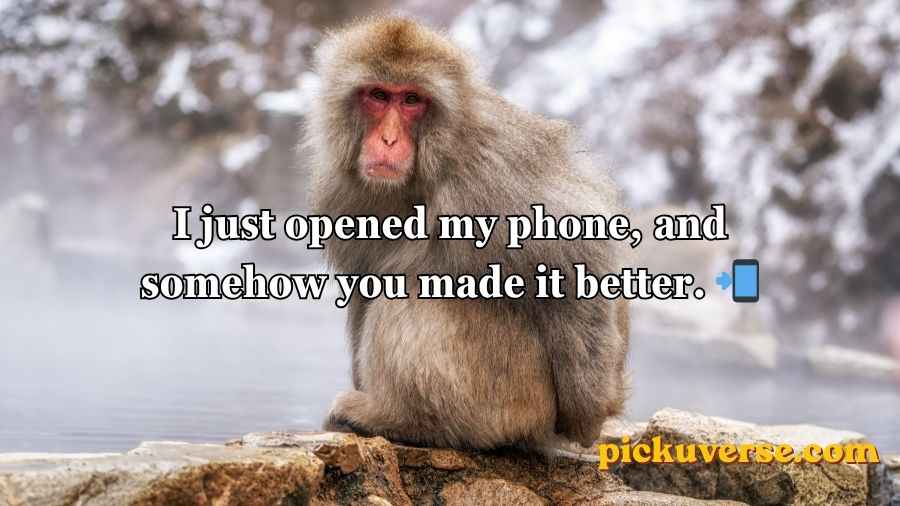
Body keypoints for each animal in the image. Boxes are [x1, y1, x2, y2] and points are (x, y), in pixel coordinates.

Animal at [305, 16, 630, 450]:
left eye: (411, 100)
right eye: (378, 95)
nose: (388, 139)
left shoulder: (495, 169)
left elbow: (581, 259)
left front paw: (586, 418)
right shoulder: (341, 189)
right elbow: (364, 280)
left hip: (513, 396)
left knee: (415, 286)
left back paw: (404, 419)